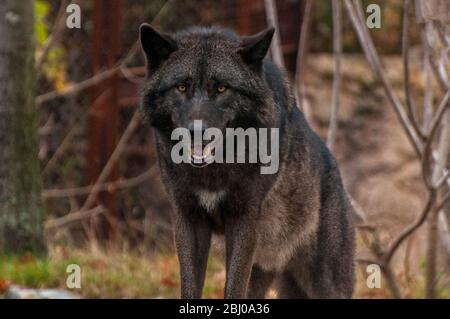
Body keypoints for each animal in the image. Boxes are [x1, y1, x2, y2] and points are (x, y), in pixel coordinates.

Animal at [141, 23, 356, 298]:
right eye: (181, 87)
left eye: (222, 88)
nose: (196, 131)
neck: (214, 171)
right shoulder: (188, 219)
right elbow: (189, 286)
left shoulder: (244, 220)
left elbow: (233, 287)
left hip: (326, 282)